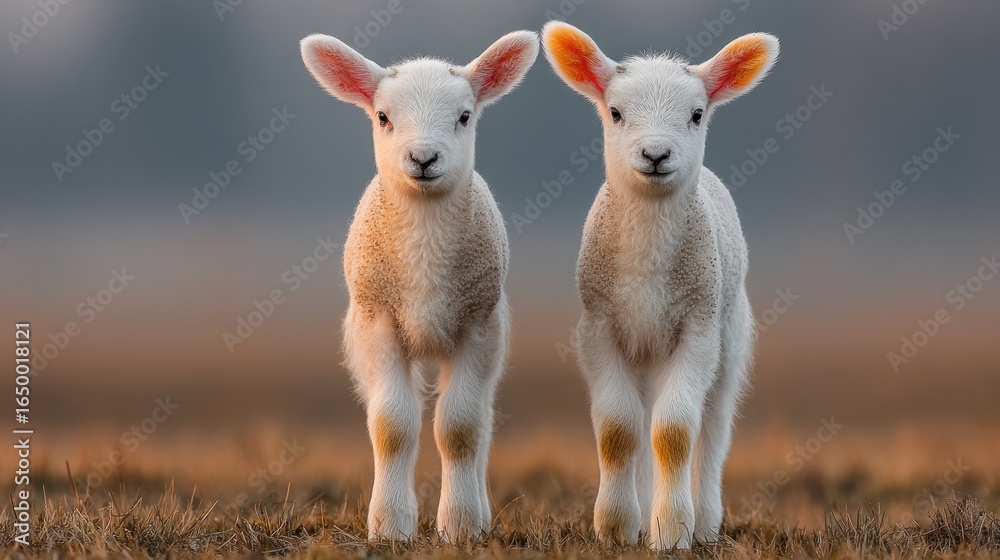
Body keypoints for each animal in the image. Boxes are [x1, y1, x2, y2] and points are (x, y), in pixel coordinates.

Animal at [300, 31, 539, 541]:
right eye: (383, 117)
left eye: (464, 116)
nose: (423, 158)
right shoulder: (378, 323)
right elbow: (393, 426)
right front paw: (390, 527)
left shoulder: (477, 326)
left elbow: (461, 428)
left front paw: (461, 526)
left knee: (483, 421)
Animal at [541, 21, 778, 550]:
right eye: (615, 112)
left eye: (696, 114)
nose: (655, 154)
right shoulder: (599, 329)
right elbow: (618, 431)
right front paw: (616, 527)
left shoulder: (698, 329)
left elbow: (673, 433)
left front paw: (671, 531)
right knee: (643, 419)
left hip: (730, 339)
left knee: (713, 428)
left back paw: (705, 522)